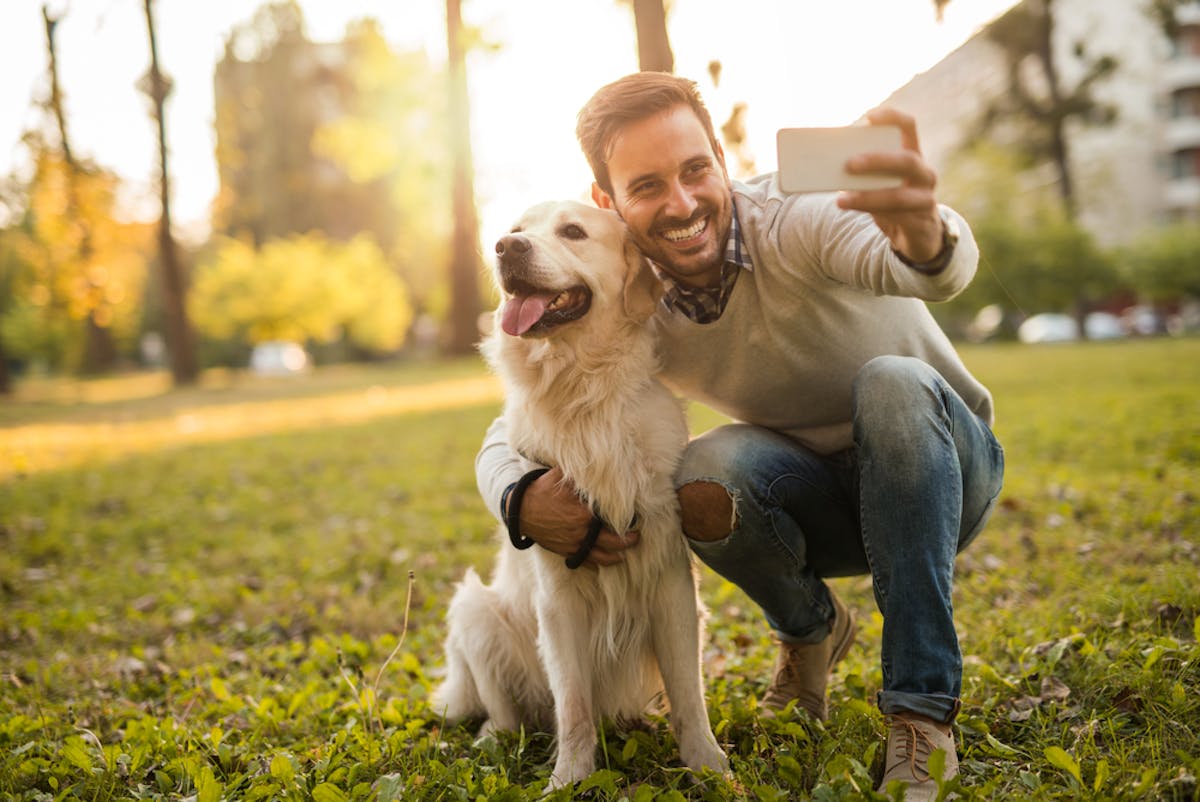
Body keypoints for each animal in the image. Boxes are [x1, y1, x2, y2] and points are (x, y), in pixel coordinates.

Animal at [436, 196, 724, 787]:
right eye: (517, 230)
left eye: (573, 232)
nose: (504, 247)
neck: (583, 392)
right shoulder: (557, 593)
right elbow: (573, 705)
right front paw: (570, 777)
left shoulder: (670, 579)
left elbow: (689, 694)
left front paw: (709, 766)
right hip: (475, 610)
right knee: (509, 713)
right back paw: (492, 740)